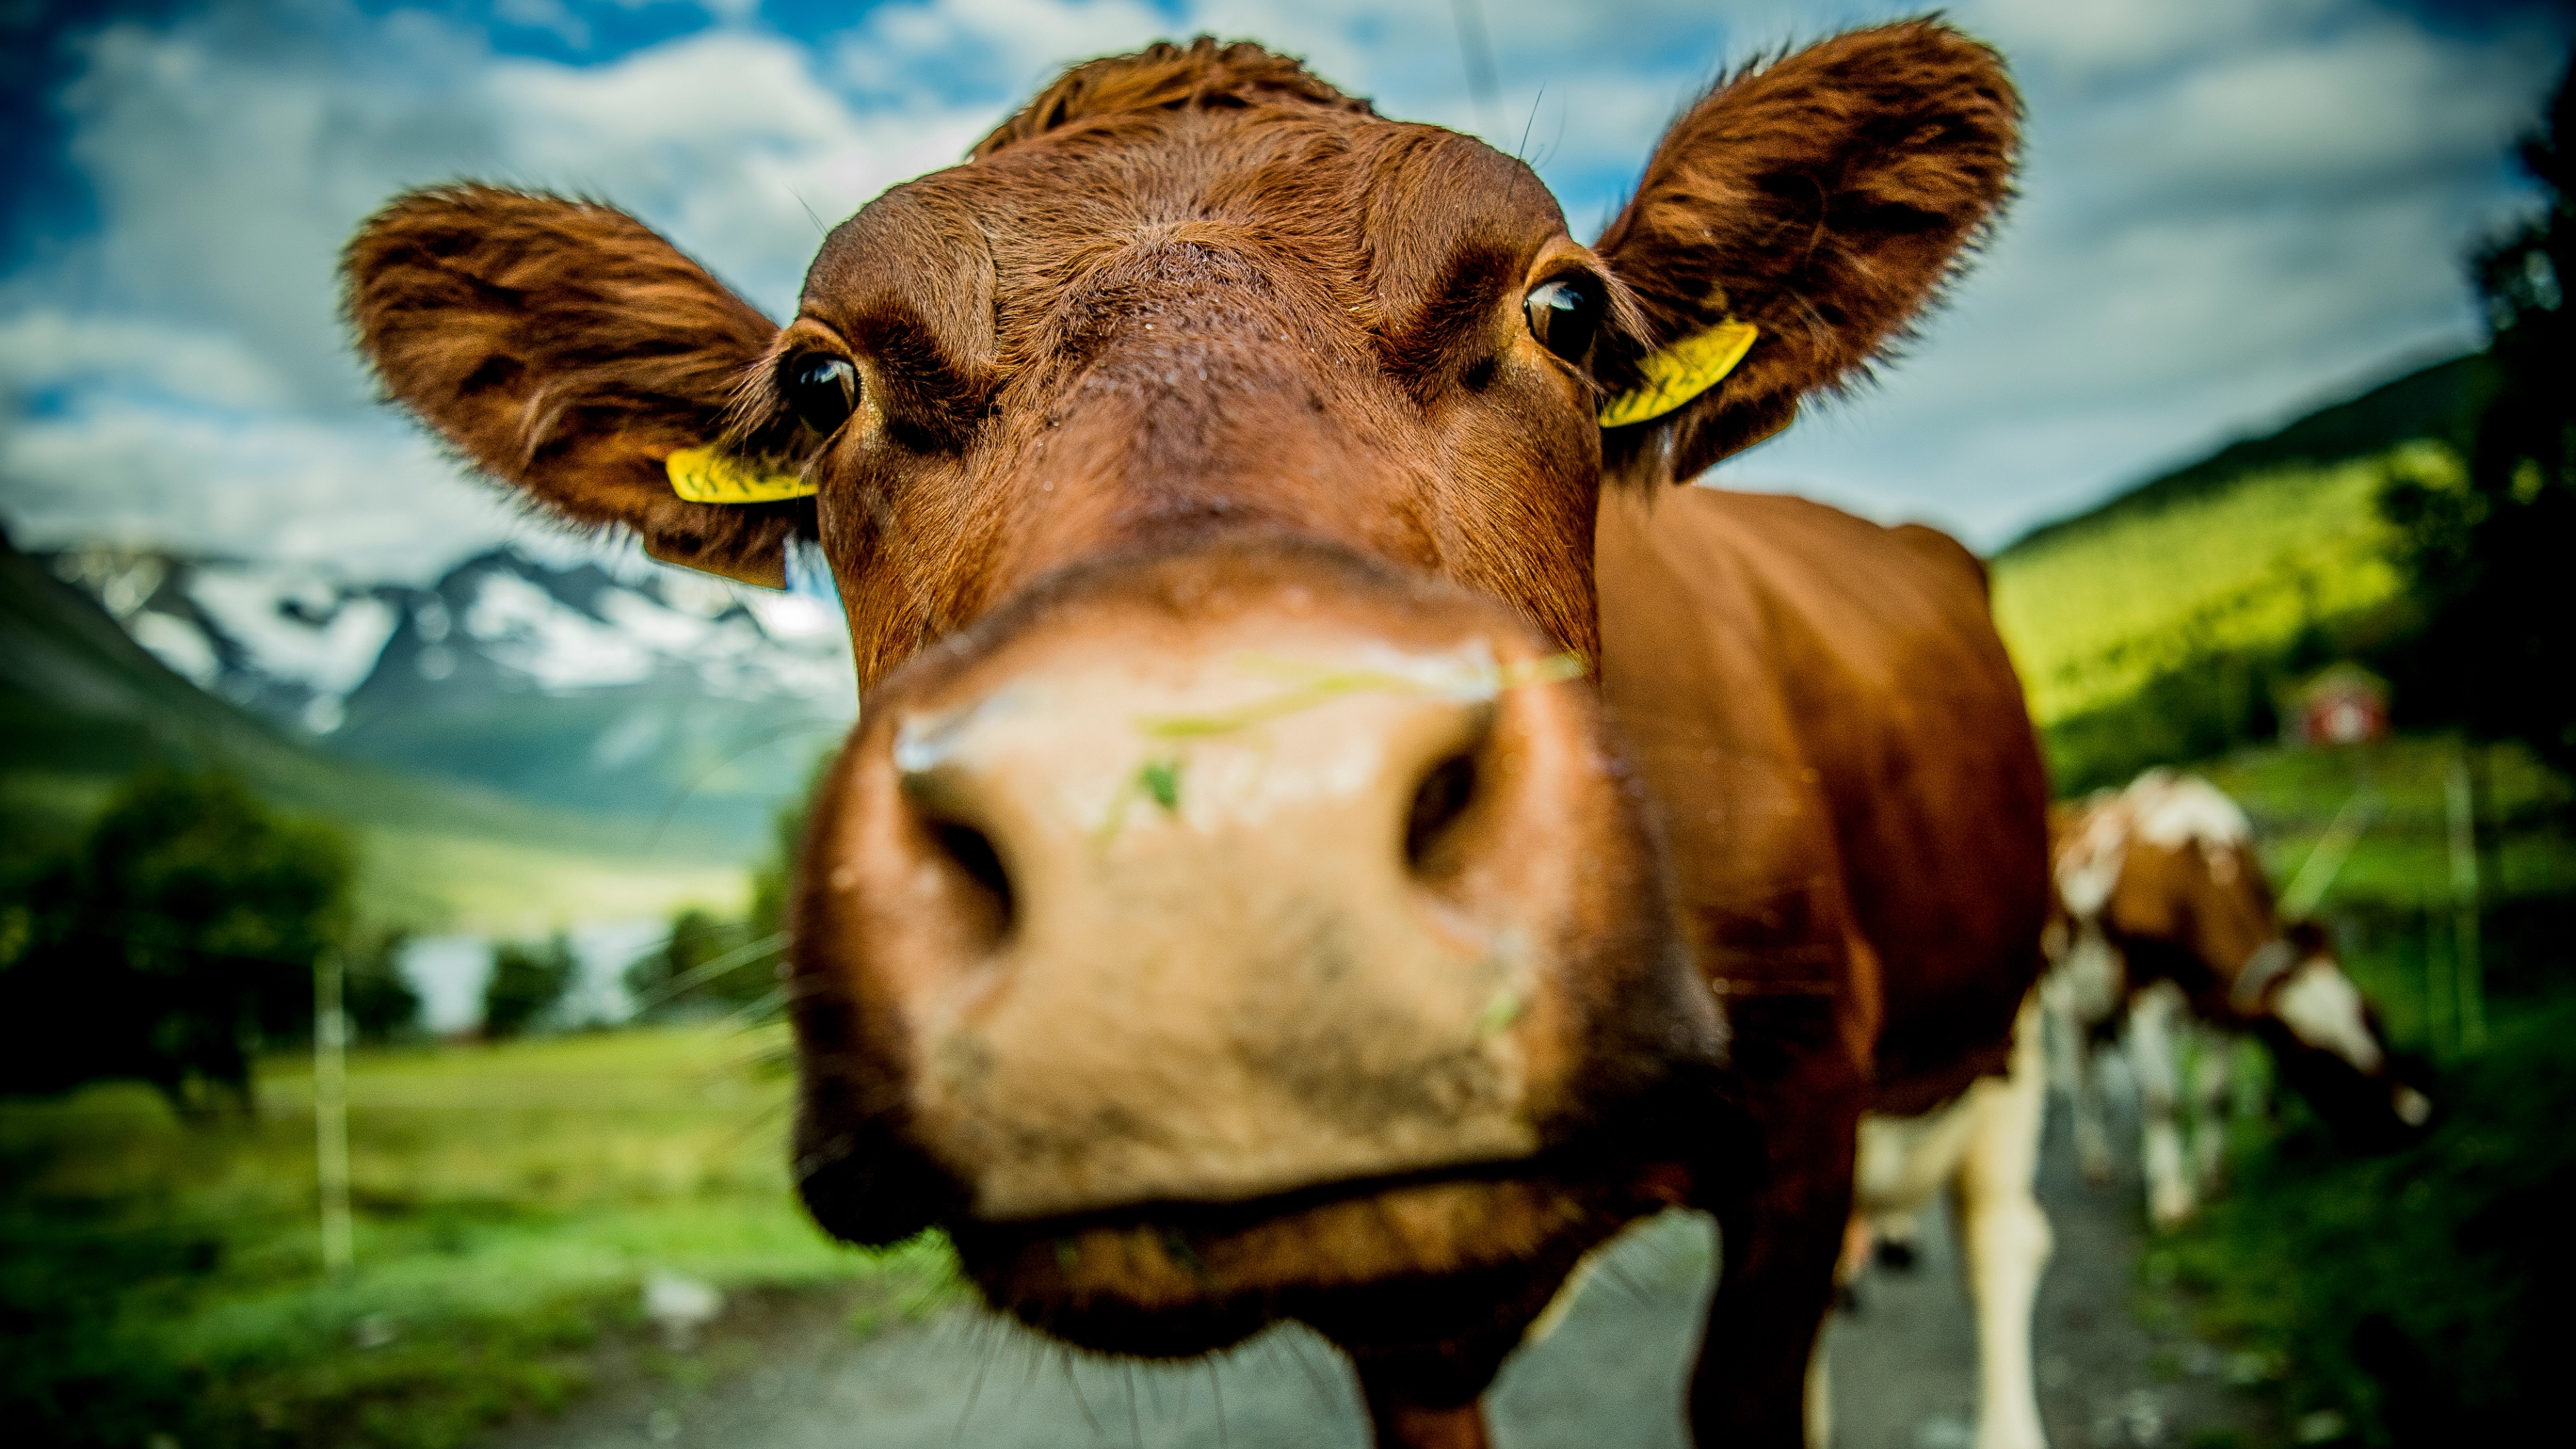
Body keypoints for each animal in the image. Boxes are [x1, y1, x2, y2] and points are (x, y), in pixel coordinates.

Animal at [2044, 770, 2434, 1227]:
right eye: (2315, 1058)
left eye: (2376, 1018)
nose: (2414, 1117)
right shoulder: (2146, 996)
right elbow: (2164, 1101)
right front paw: (2174, 1201)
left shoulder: (2224, 1006)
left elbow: (2217, 1098)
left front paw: (2214, 1183)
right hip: (2066, 1001)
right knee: (2083, 1075)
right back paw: (2096, 1161)